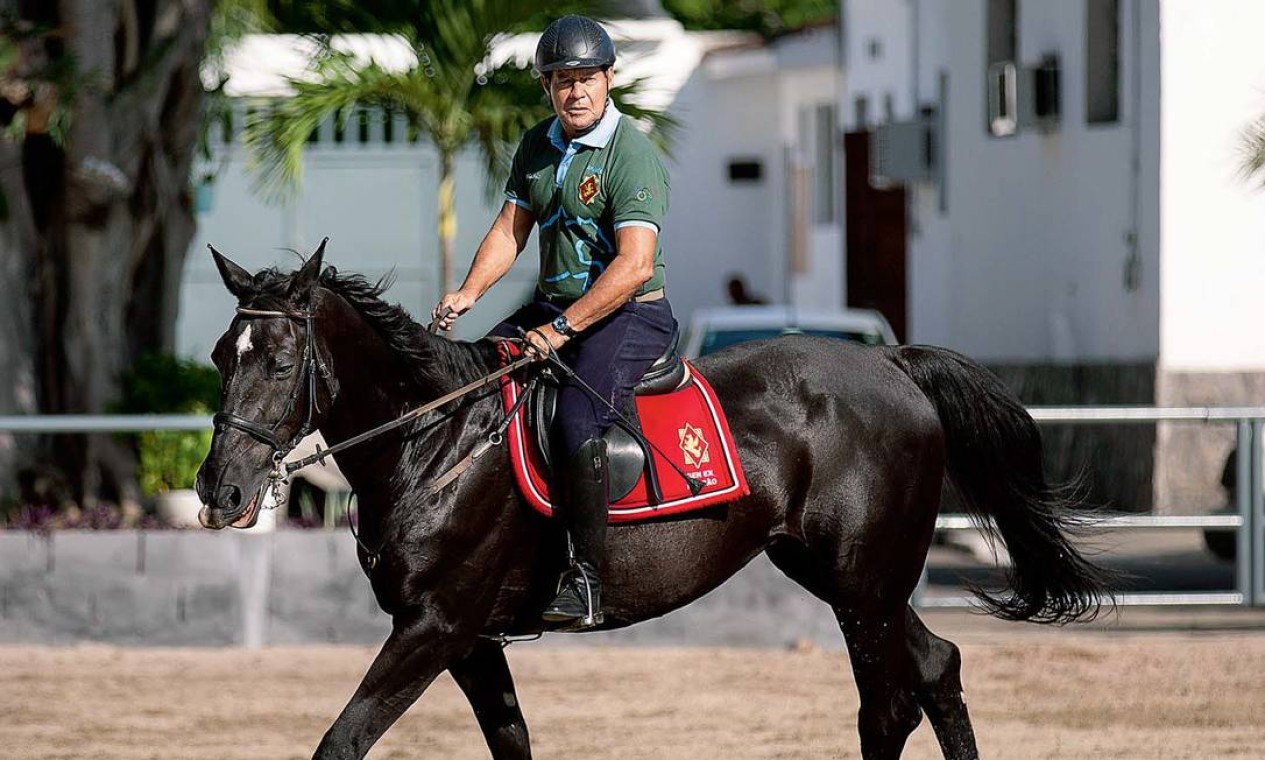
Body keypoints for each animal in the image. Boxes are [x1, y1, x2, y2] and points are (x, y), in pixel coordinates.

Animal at [192, 244, 1113, 758]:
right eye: (217, 356)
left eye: (281, 363)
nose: (218, 491)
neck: (435, 440)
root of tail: (889, 364)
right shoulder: (468, 641)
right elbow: (511, 742)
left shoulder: (435, 628)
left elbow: (340, 741)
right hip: (848, 578)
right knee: (931, 671)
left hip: (864, 583)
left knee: (891, 698)